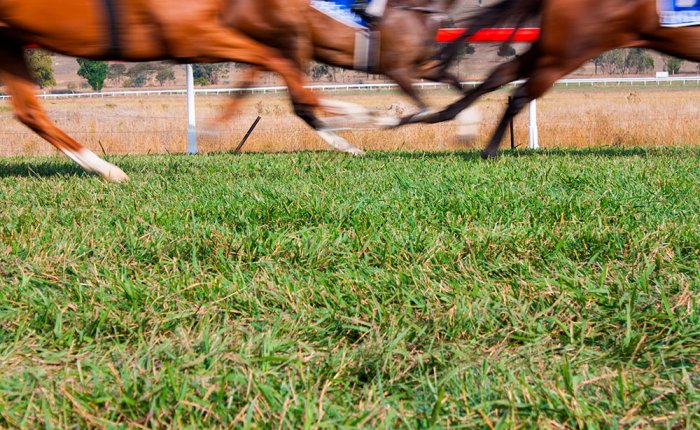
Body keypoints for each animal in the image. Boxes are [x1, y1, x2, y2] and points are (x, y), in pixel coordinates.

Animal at [0, 0, 366, 181]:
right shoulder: (189, 34)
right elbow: (276, 63)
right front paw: (360, 116)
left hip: (11, 40)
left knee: (29, 112)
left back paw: (107, 170)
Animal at [402, 0, 700, 159]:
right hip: (569, 50)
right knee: (520, 94)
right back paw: (489, 149)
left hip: (553, 47)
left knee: (501, 75)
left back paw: (438, 117)